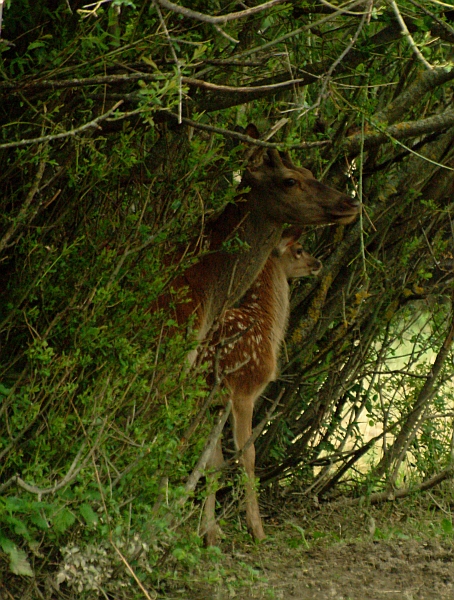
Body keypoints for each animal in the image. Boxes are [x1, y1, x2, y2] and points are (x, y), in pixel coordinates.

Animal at [200, 232, 320, 548]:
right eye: (298, 249)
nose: (318, 263)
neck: (265, 325)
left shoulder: (218, 402)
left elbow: (213, 461)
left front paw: (211, 532)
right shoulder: (245, 391)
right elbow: (248, 455)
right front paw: (257, 530)